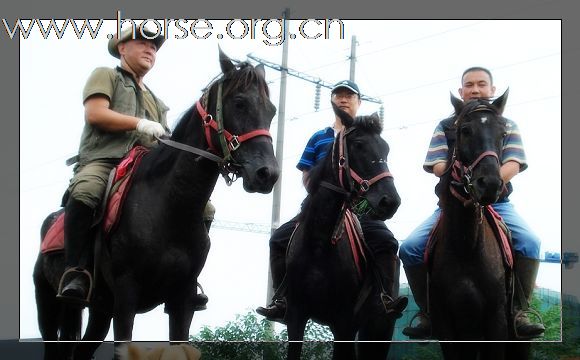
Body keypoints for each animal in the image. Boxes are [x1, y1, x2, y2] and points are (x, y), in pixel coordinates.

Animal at [33, 48, 280, 360]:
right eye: (239, 103)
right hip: (50, 304)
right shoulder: (126, 295)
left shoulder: (182, 299)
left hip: (99, 310)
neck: (169, 209)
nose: (267, 174)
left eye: (272, 110)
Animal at [284, 107, 402, 360]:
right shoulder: (296, 316)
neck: (319, 244)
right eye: (358, 145)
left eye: (386, 148)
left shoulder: (344, 321)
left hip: (379, 326)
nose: (390, 202)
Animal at [428, 90, 528, 360]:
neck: (467, 247)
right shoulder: (446, 326)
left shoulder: (496, 321)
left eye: (503, 134)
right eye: (464, 130)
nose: (490, 184)